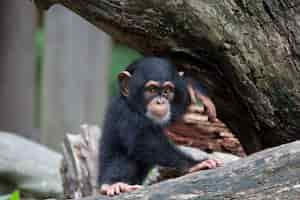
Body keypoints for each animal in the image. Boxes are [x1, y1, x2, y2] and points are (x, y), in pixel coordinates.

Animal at [98, 57, 220, 196]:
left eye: (167, 91)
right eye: (151, 90)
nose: (160, 101)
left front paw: (193, 88)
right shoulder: (125, 112)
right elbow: (144, 141)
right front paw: (195, 164)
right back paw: (116, 184)